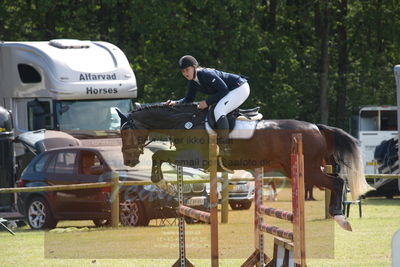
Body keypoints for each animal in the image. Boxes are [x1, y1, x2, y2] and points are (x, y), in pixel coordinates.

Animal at [118, 103, 372, 231]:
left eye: (127, 131)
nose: (129, 161)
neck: (184, 122)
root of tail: (317, 128)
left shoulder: (193, 158)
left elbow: (158, 155)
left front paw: (163, 183)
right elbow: (159, 156)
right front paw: (168, 186)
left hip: (308, 169)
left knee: (337, 181)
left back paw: (340, 218)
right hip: (296, 169)